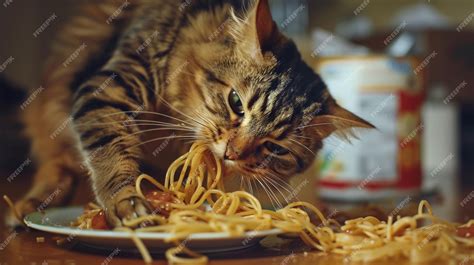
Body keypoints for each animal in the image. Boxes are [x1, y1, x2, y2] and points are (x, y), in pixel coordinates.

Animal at [8, 0, 370, 226]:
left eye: (275, 148)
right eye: (236, 103)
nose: (233, 153)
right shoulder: (109, 86)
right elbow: (110, 152)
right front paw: (127, 205)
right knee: (58, 168)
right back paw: (26, 209)